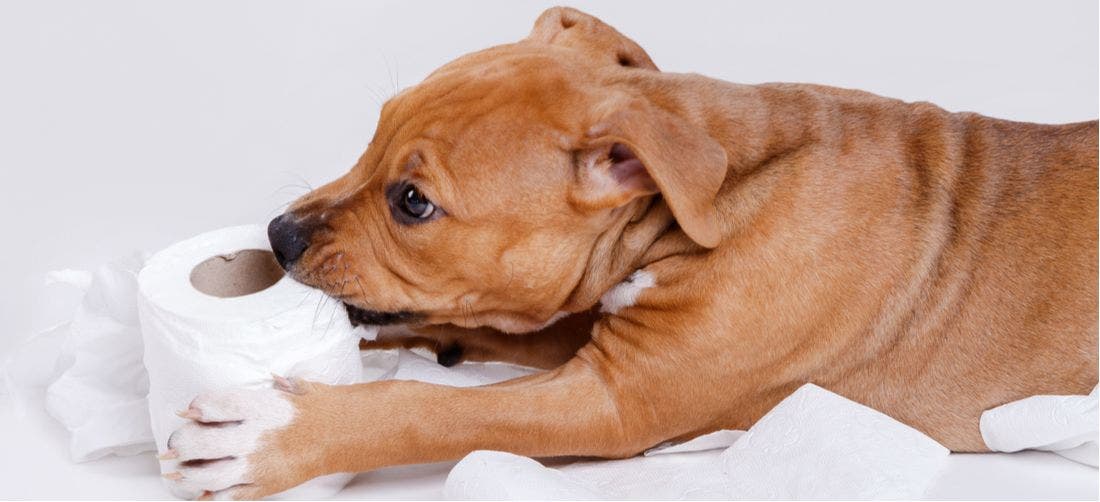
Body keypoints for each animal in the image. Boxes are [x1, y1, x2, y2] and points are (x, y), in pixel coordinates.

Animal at [162, 6, 1100, 497]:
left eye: (413, 203)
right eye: (374, 132)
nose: (277, 237)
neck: (708, 194)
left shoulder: (617, 401)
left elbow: (430, 409)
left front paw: (277, 436)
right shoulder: (593, 326)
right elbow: (507, 328)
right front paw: (387, 335)